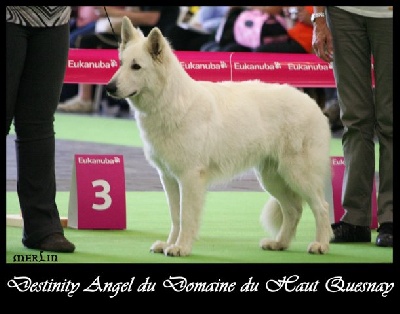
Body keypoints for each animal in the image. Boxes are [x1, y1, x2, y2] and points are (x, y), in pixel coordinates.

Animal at [104, 17, 332, 256]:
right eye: (121, 63)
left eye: (136, 66)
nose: (109, 88)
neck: (170, 102)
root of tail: (313, 103)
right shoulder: (168, 177)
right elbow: (175, 216)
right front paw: (169, 244)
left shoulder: (190, 177)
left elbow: (186, 217)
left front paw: (181, 247)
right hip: (272, 177)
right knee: (293, 209)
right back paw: (279, 243)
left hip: (298, 174)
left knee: (321, 207)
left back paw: (321, 244)